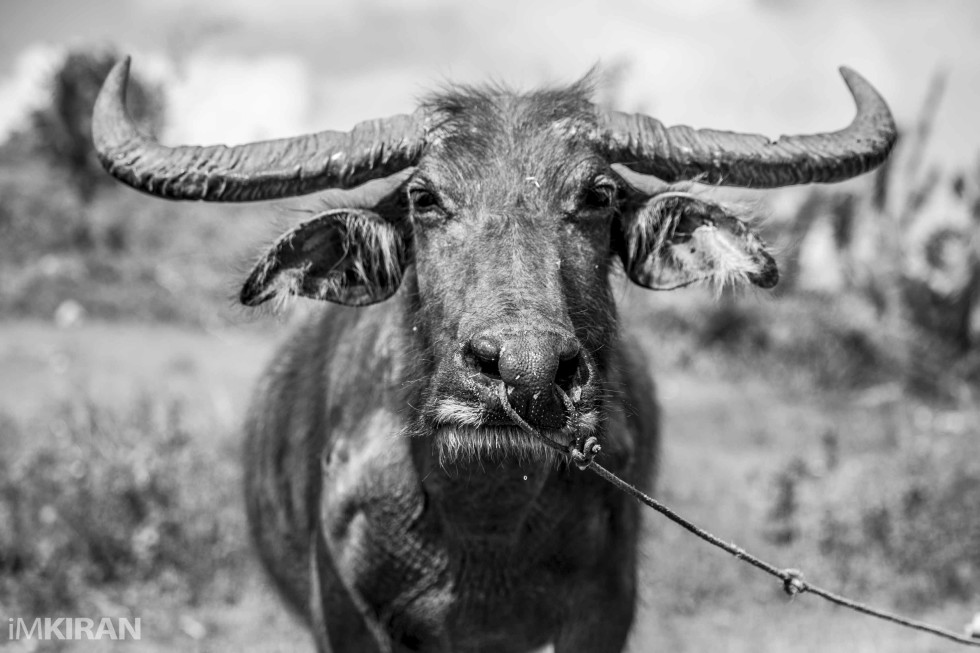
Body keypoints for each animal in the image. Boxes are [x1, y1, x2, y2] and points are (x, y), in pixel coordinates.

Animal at [93, 59, 895, 652]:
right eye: (425, 198)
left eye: (598, 195)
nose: (527, 373)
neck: (483, 527)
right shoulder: (346, 615)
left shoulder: (604, 611)